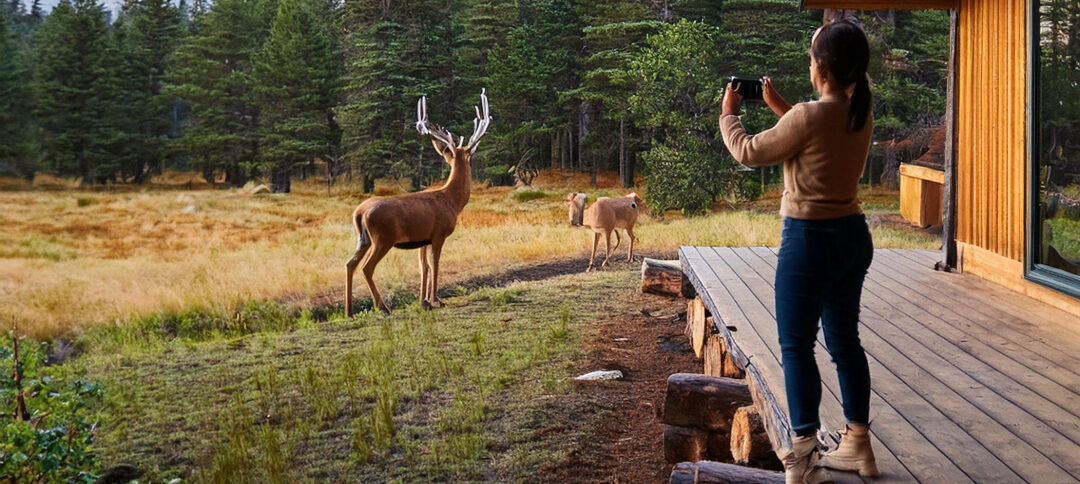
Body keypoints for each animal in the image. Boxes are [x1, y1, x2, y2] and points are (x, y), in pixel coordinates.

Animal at [345, 89, 494, 317]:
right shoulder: (439, 233)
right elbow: (436, 264)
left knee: (350, 264)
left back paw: (349, 311)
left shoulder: (423, 239)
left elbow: (424, 267)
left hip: (363, 239)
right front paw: (436, 300)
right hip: (383, 238)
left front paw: (423, 301)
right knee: (366, 267)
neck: (452, 201)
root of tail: (359, 212)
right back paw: (383, 307)